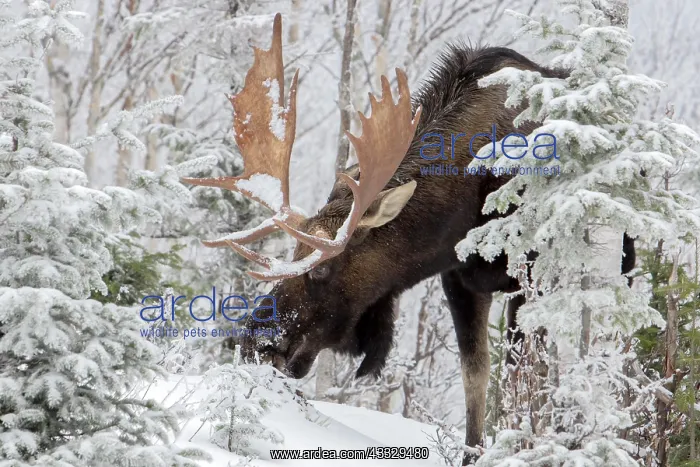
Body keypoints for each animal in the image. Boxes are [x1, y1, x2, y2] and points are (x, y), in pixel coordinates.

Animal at [183, 13, 636, 463]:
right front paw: (475, 452)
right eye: (293, 250)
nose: (255, 340)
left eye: (324, 267)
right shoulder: (459, 279)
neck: (468, 202)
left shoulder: (532, 269)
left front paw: (529, 444)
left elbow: (526, 373)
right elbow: (476, 375)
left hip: (620, 258)